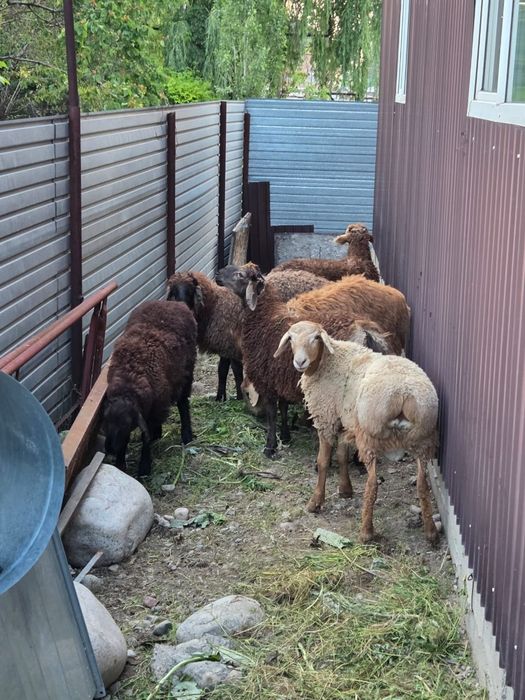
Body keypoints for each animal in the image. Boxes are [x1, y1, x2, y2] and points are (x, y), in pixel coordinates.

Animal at [103, 300, 197, 478]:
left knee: (183, 403)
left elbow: (144, 438)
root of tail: (172, 302)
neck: (129, 382)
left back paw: (186, 434)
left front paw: (144, 467)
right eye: (105, 423)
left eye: (127, 424)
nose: (110, 450)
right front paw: (120, 464)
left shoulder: (155, 408)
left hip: (187, 371)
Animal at [215, 262, 410, 457]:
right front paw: (286, 436)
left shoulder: (267, 378)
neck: (265, 319)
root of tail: (365, 332)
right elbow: (283, 408)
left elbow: (272, 415)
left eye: (240, 274)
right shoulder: (281, 376)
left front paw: (270, 447)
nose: (217, 274)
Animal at [274, 320, 439, 545]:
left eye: (316, 338)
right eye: (290, 338)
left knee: (372, 484)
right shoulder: (346, 420)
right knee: (422, 484)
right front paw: (345, 489)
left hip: (370, 437)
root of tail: (404, 394)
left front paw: (316, 502)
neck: (328, 361)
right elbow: (342, 454)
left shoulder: (326, 418)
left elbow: (323, 461)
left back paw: (366, 532)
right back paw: (431, 533)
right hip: (422, 438)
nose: (300, 362)